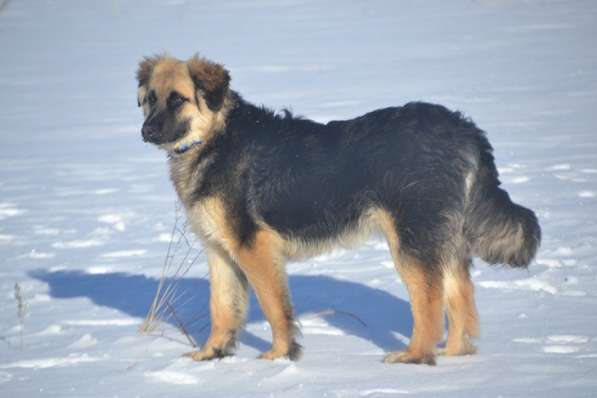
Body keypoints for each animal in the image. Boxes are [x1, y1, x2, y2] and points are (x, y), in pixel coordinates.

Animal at [135, 54, 540, 366]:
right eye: (151, 98)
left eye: (178, 99)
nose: (146, 131)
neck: (215, 138)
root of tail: (463, 128)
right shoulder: (220, 251)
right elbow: (221, 308)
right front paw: (212, 356)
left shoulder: (254, 249)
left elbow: (274, 308)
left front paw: (279, 358)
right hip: (442, 241)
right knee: (460, 298)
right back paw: (454, 356)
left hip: (412, 243)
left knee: (429, 302)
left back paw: (414, 357)